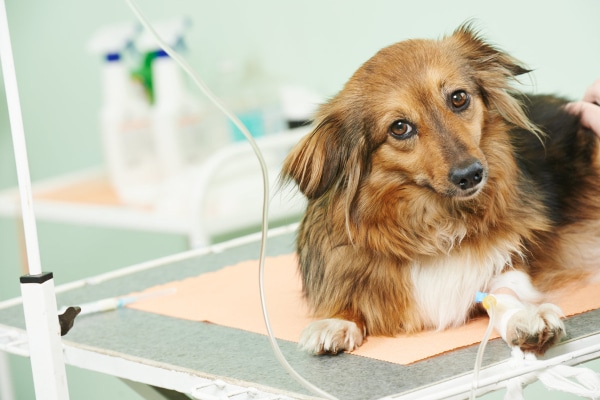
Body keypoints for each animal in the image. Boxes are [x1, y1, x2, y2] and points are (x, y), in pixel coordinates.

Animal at [282, 23, 600, 354]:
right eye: (399, 127)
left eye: (458, 98)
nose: (471, 175)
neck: (436, 220)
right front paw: (337, 320)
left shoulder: (511, 262)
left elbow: (503, 292)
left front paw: (524, 318)